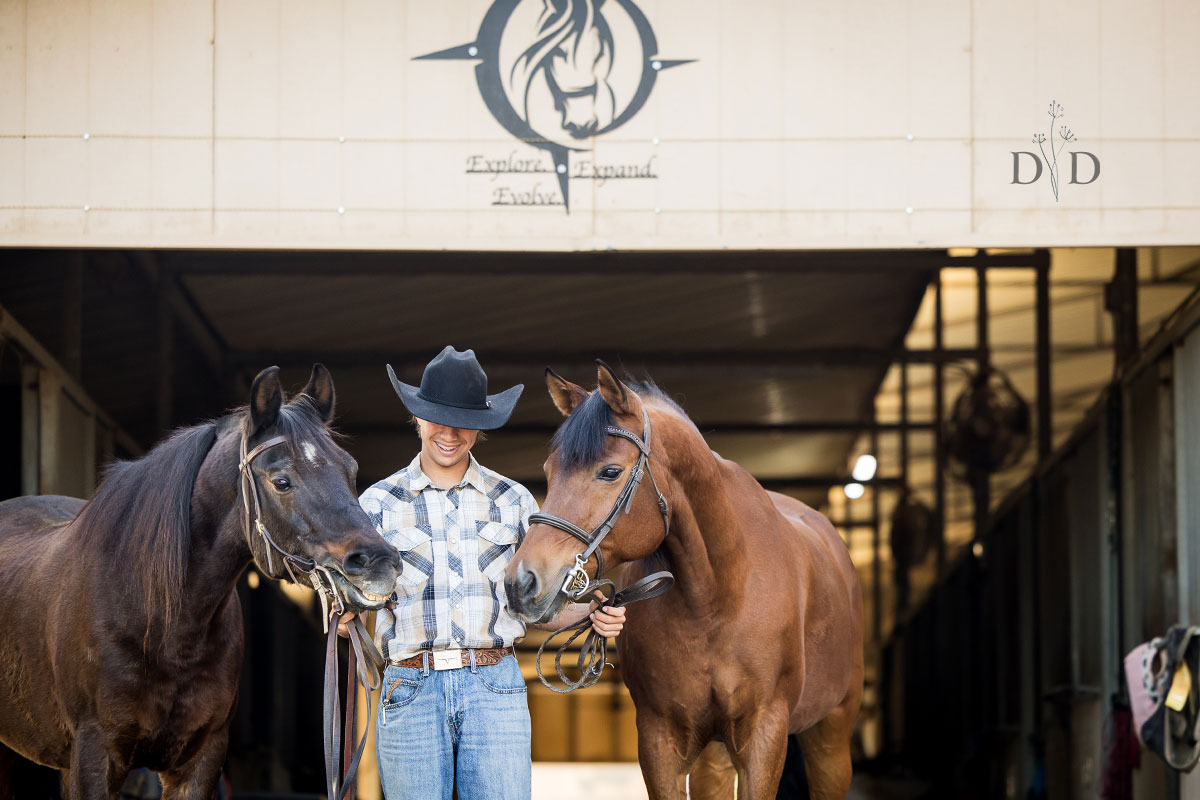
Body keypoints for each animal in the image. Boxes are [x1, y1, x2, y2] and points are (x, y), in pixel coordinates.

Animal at [0, 364, 400, 799]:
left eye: (351, 471)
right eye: (281, 481)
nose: (380, 563)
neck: (162, 624)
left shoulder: (201, 758)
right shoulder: (94, 755)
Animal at [504, 362, 864, 799]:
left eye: (610, 472)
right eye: (548, 472)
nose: (520, 583)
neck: (715, 597)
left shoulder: (765, 734)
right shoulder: (659, 737)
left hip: (831, 737)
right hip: (716, 752)